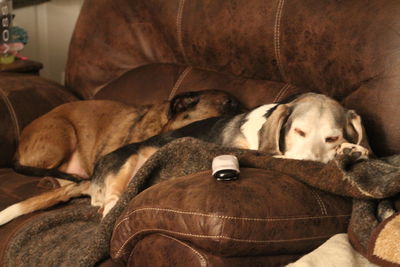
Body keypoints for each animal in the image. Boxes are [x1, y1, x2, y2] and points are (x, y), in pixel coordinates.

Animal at [0, 92, 372, 226]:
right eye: (298, 131)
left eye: (332, 136)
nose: (308, 163)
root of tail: (90, 179)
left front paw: (353, 150)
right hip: (131, 158)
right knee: (109, 202)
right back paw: (114, 205)